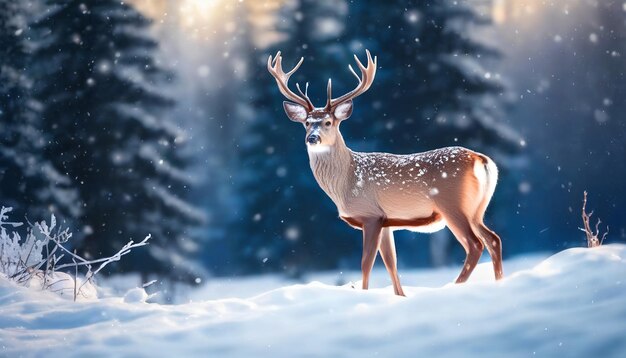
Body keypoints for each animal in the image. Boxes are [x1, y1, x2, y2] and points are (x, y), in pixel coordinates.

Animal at [266, 50, 500, 296]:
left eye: (328, 122)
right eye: (306, 123)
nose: (312, 138)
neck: (346, 182)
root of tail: (480, 159)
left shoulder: (370, 215)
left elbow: (366, 262)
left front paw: (364, 293)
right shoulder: (387, 222)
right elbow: (391, 263)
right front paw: (400, 296)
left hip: (452, 205)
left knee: (475, 244)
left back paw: (454, 286)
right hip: (476, 209)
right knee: (493, 239)